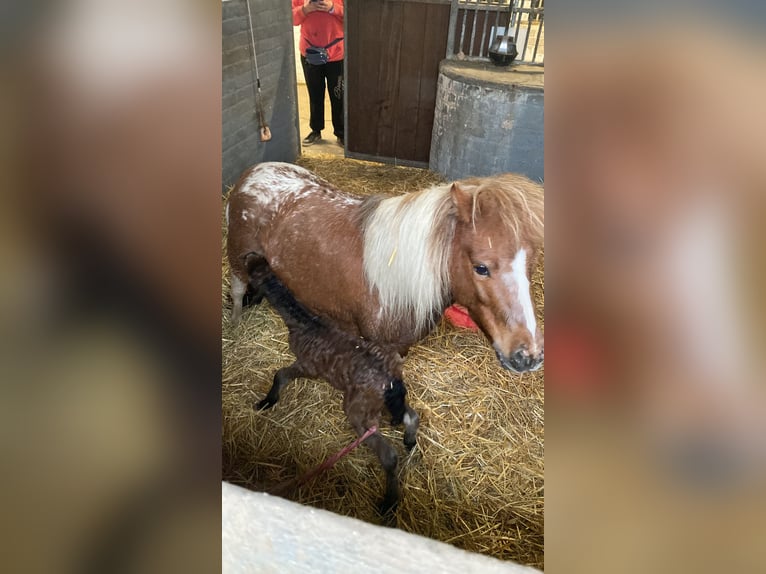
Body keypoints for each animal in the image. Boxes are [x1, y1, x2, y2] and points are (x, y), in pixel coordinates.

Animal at [225, 164, 544, 376]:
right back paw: (236, 324)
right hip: (238, 258)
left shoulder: (399, 347)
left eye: (530, 262)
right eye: (481, 267)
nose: (529, 355)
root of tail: (253, 172)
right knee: (238, 289)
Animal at [246, 254, 420, 516]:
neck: (303, 323)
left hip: (359, 410)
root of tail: (391, 382)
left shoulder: (308, 366)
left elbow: (281, 375)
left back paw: (388, 504)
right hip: (386, 402)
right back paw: (409, 442)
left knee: (389, 455)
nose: (241, 301)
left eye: (249, 284)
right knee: (412, 416)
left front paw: (267, 401)